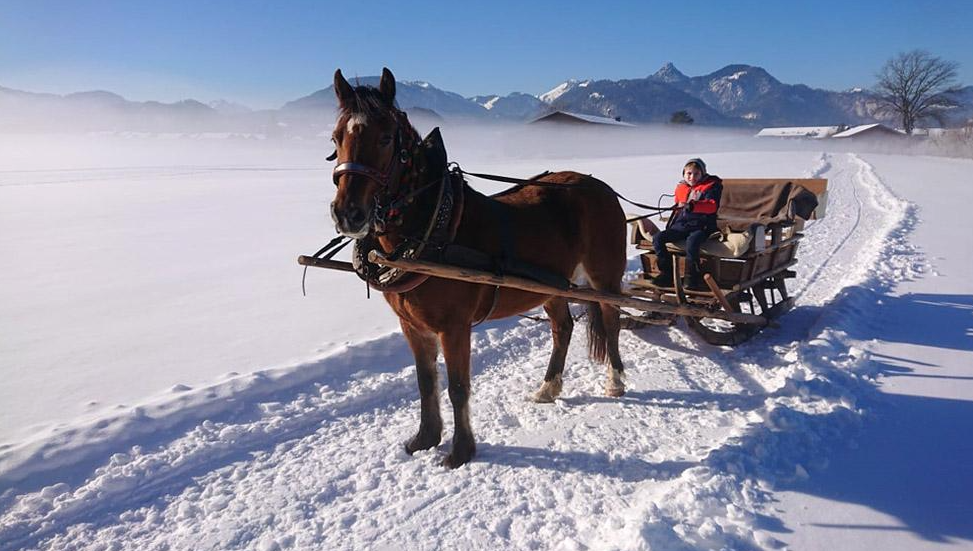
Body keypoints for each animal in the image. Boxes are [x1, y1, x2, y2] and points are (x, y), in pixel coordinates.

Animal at [328, 67, 628, 468]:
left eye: (386, 138)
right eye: (336, 137)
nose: (348, 213)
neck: (431, 230)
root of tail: (600, 186)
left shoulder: (454, 328)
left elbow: (457, 387)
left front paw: (460, 450)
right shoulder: (413, 327)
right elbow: (426, 383)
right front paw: (425, 438)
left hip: (604, 277)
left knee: (610, 321)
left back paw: (615, 380)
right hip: (550, 285)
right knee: (562, 328)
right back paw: (548, 387)